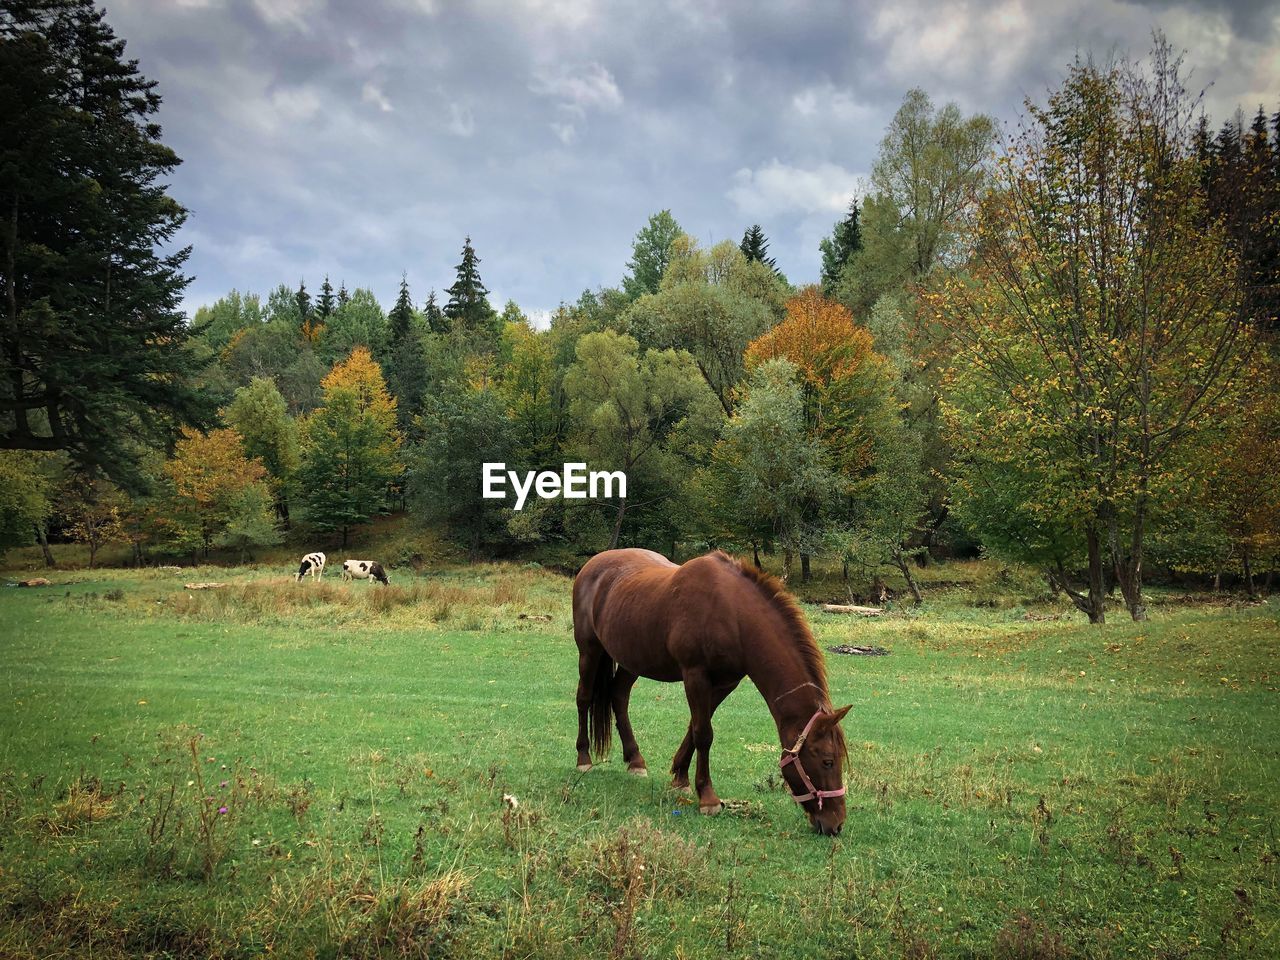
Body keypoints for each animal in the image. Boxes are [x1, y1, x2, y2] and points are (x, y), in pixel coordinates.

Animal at [570, 547, 849, 834]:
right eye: (827, 760)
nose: (836, 823)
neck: (733, 615)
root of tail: (594, 563)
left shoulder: (724, 683)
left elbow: (694, 729)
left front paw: (680, 778)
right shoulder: (695, 675)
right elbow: (704, 734)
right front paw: (708, 798)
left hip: (632, 659)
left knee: (619, 695)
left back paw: (635, 760)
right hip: (589, 650)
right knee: (584, 698)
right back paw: (584, 758)